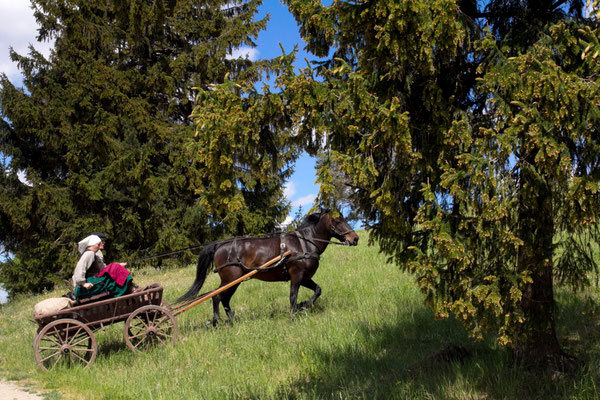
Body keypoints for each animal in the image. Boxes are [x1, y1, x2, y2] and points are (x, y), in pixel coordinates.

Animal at [176, 209, 358, 324]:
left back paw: (232, 321)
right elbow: (293, 297)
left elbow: (318, 290)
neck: (305, 243)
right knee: (216, 297)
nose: (355, 238)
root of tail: (220, 245)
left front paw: (304, 306)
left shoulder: (305, 277)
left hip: (235, 281)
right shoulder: (297, 275)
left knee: (224, 299)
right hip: (230, 279)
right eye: (338, 220)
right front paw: (294, 314)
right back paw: (216, 321)